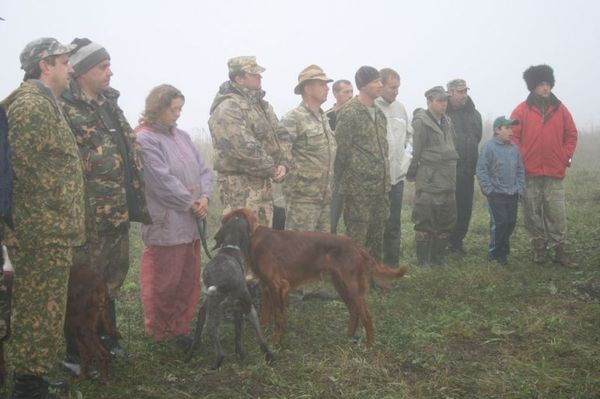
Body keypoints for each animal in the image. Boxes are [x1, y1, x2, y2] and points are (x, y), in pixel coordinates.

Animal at [223, 208, 410, 348]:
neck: (255, 238)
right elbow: (265, 314)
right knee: (354, 311)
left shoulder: (277, 286)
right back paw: (348, 336)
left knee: (366, 315)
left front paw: (276, 341)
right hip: (341, 285)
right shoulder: (266, 286)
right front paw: (263, 333)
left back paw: (369, 345)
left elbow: (278, 316)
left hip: (351, 287)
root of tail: (356, 246)